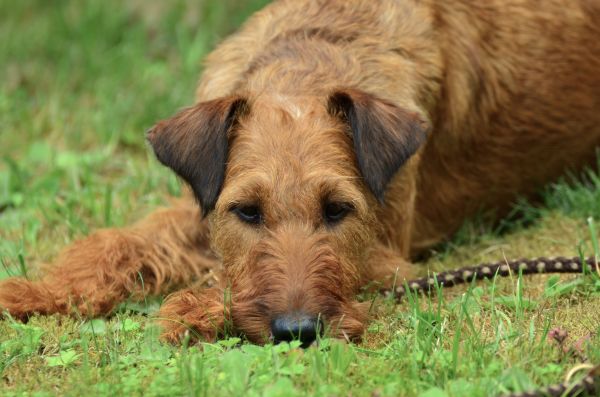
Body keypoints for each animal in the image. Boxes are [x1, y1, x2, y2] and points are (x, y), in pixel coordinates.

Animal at [1, 0, 600, 344]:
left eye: (338, 210)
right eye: (247, 211)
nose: (298, 331)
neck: (307, 61)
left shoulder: (388, 257)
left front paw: (195, 308)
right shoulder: (203, 202)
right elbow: (117, 244)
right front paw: (35, 292)